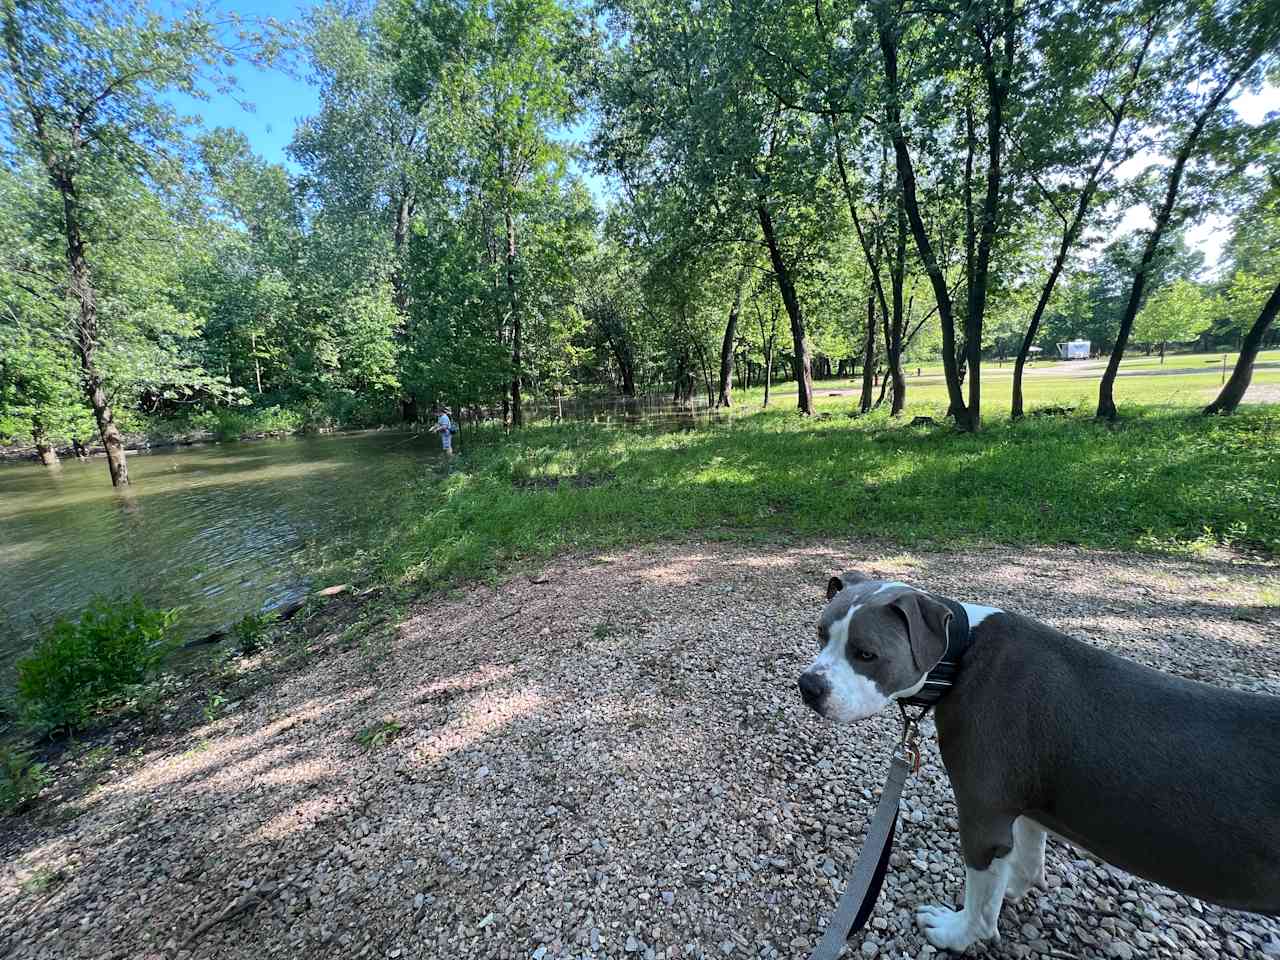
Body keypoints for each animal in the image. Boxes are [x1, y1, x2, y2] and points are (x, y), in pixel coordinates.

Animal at [798, 570, 1280, 957]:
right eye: (820, 634)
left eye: (866, 654)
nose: (807, 685)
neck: (961, 654)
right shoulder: (1027, 806)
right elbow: (1025, 858)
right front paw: (1013, 888)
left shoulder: (983, 819)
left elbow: (980, 899)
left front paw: (956, 934)